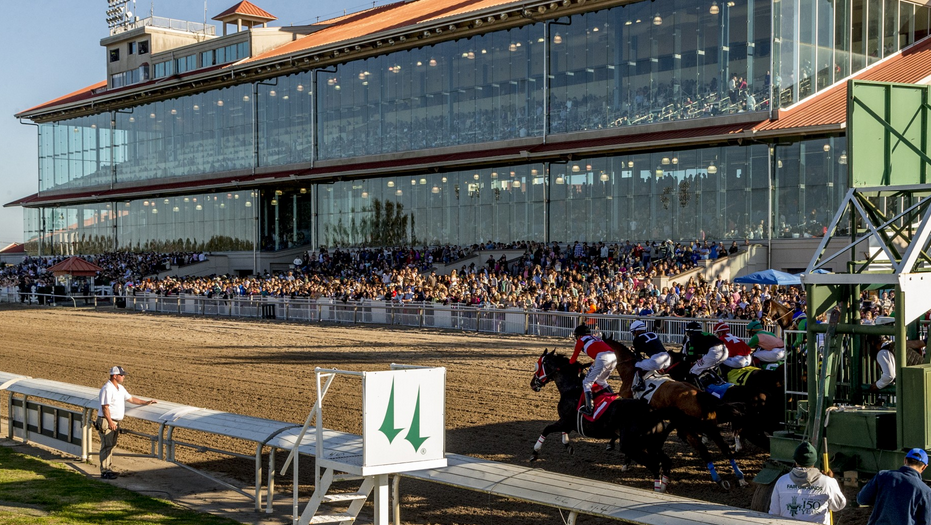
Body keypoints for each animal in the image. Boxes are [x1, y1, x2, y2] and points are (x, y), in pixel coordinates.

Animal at [528, 348, 672, 492]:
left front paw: (534, 453)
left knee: (655, 466)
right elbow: (563, 433)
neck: (571, 389)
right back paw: (663, 487)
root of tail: (653, 414)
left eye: (539, 365)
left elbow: (546, 429)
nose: (532, 384)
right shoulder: (567, 423)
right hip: (653, 444)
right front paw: (568, 446)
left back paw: (657, 489)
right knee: (666, 461)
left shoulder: (565, 421)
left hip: (632, 446)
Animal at [604, 336, 748, 488]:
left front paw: (621, 457)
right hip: (710, 427)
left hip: (689, 428)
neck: (630, 371)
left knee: (703, 450)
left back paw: (719, 479)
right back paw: (740, 477)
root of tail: (699, 394)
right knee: (724, 448)